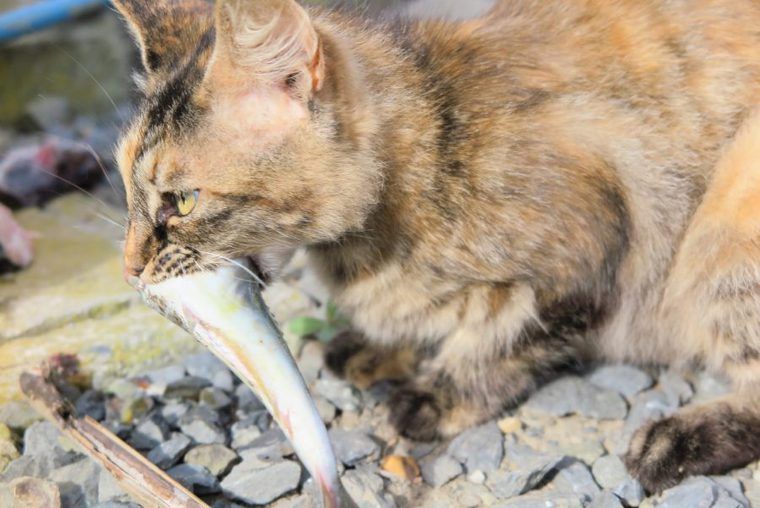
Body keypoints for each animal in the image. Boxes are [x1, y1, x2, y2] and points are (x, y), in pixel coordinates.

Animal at [113, 0, 760, 492]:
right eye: (123, 183)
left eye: (182, 201)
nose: (130, 267)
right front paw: (380, 348)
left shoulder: (586, 250)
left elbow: (506, 341)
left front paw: (435, 394)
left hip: (724, 225)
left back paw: (673, 441)